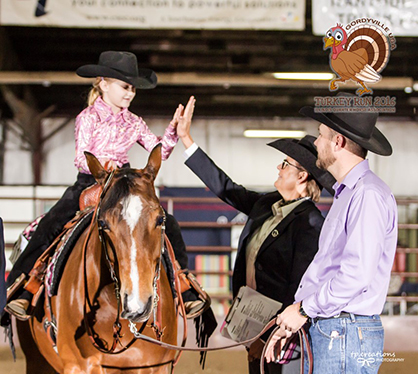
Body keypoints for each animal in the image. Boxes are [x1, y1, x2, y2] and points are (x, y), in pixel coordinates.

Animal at [17, 145, 178, 372]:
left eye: (161, 219)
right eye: (102, 223)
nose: (137, 305)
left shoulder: (157, 366)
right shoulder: (79, 366)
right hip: (36, 361)